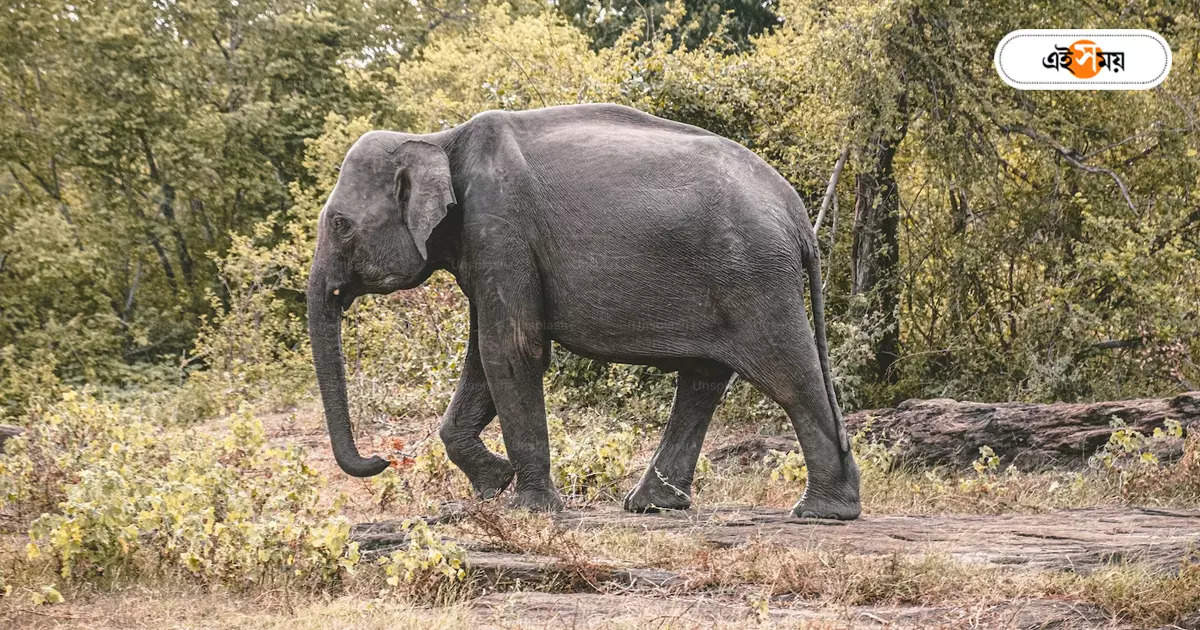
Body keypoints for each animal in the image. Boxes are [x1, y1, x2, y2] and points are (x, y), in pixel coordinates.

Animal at [304, 102, 859, 516]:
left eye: (340, 226)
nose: (382, 458)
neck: (438, 138)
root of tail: (797, 215)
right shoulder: (486, 246)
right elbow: (483, 358)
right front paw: (492, 486)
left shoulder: (500, 227)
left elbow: (511, 350)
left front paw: (527, 508)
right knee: (703, 379)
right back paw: (651, 506)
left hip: (755, 276)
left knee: (788, 374)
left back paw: (822, 511)